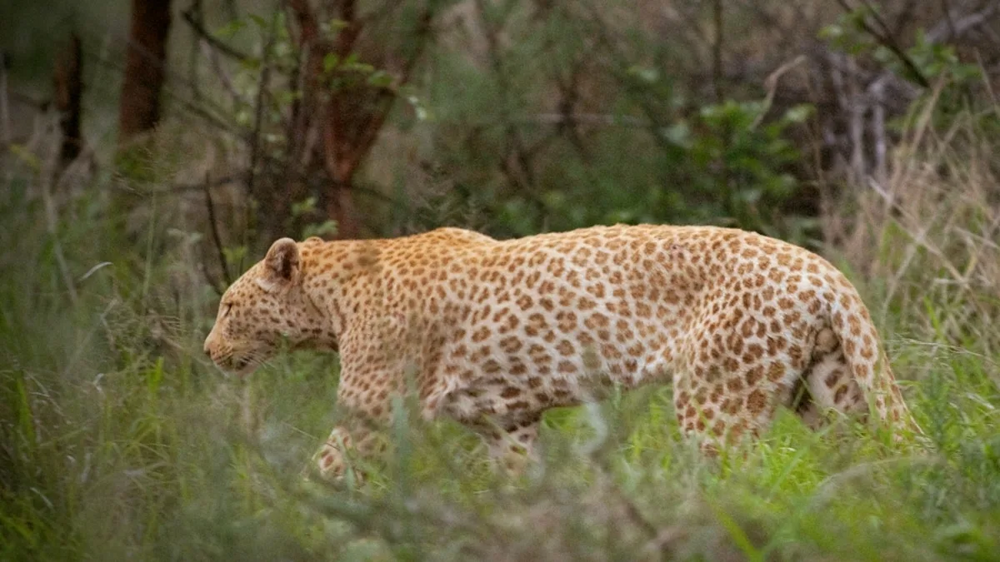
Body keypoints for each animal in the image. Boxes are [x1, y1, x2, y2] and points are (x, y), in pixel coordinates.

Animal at [205, 223, 920, 476]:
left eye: (228, 307)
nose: (208, 351)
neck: (333, 298)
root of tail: (822, 268)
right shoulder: (508, 423)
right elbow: (518, 482)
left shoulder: (373, 414)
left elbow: (323, 470)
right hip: (830, 388)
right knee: (871, 451)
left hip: (716, 401)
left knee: (735, 478)